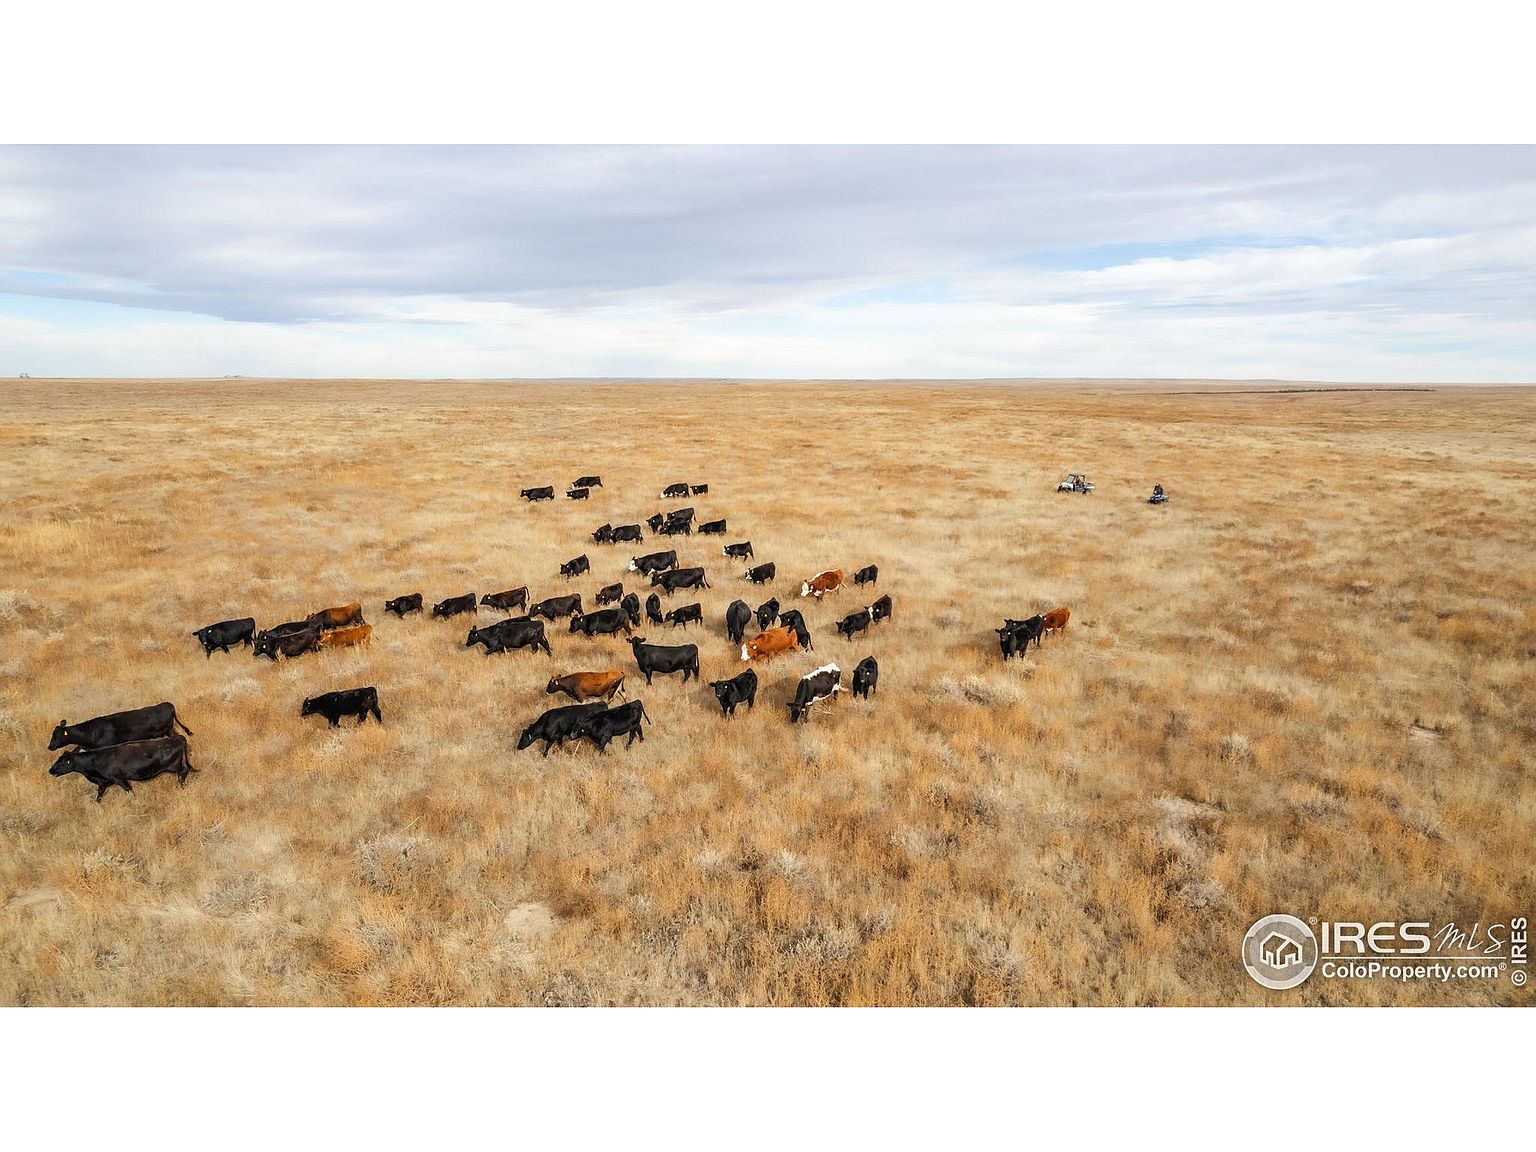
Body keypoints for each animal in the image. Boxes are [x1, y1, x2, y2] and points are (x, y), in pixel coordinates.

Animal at [49, 734, 195, 802]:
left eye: (63, 762)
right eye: (57, 760)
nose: (51, 770)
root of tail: (177, 738)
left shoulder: (119, 779)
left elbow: (128, 790)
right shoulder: (103, 783)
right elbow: (98, 797)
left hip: (174, 766)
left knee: (183, 771)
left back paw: (182, 786)